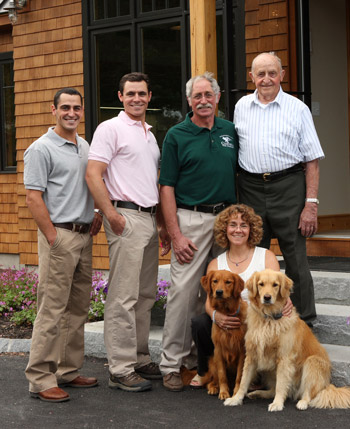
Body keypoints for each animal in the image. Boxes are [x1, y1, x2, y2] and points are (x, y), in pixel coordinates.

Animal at [201, 270, 247, 400]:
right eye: (215, 281)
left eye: (228, 282)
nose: (219, 292)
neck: (227, 312)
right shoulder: (219, 350)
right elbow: (222, 375)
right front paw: (224, 392)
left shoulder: (242, 351)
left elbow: (240, 375)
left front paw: (236, 393)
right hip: (212, 362)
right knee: (212, 381)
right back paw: (213, 387)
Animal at [223, 270, 350, 410]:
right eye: (261, 284)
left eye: (275, 285)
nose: (267, 297)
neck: (269, 318)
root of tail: (327, 386)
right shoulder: (252, 355)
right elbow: (244, 381)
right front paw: (236, 399)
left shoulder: (284, 358)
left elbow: (281, 385)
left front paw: (277, 403)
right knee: (273, 390)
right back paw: (258, 393)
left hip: (312, 362)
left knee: (308, 393)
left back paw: (302, 403)